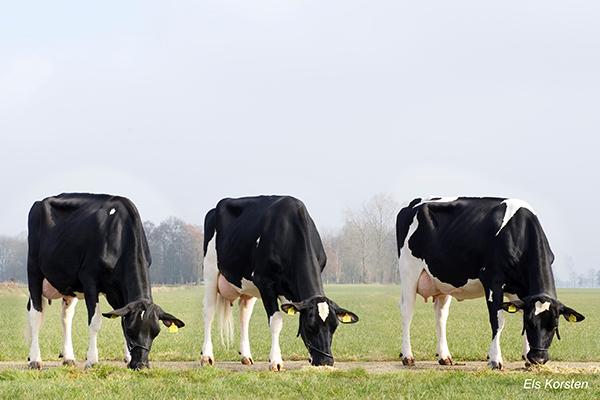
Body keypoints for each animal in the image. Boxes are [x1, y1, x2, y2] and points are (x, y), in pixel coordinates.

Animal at [25, 192, 184, 370]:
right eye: (132, 330)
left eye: (155, 332)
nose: (141, 364)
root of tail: (40, 202)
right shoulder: (89, 281)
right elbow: (95, 321)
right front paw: (92, 360)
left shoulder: (117, 290)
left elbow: (122, 318)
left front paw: (128, 357)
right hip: (34, 272)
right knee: (35, 314)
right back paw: (35, 359)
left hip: (68, 286)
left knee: (66, 317)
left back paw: (68, 357)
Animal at [199, 195, 358, 370]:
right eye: (310, 326)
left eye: (334, 327)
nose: (325, 362)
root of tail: (214, 209)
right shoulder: (265, 283)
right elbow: (276, 322)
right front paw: (275, 361)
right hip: (210, 271)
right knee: (209, 312)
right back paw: (206, 356)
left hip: (247, 286)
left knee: (244, 316)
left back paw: (246, 356)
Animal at [396, 197, 584, 368]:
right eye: (530, 323)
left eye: (554, 325)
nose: (538, 358)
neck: (519, 232)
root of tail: (414, 203)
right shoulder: (493, 281)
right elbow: (498, 321)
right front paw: (495, 359)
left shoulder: (522, 291)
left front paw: (526, 358)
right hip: (408, 272)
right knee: (407, 312)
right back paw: (408, 357)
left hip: (443, 282)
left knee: (441, 315)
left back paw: (445, 357)